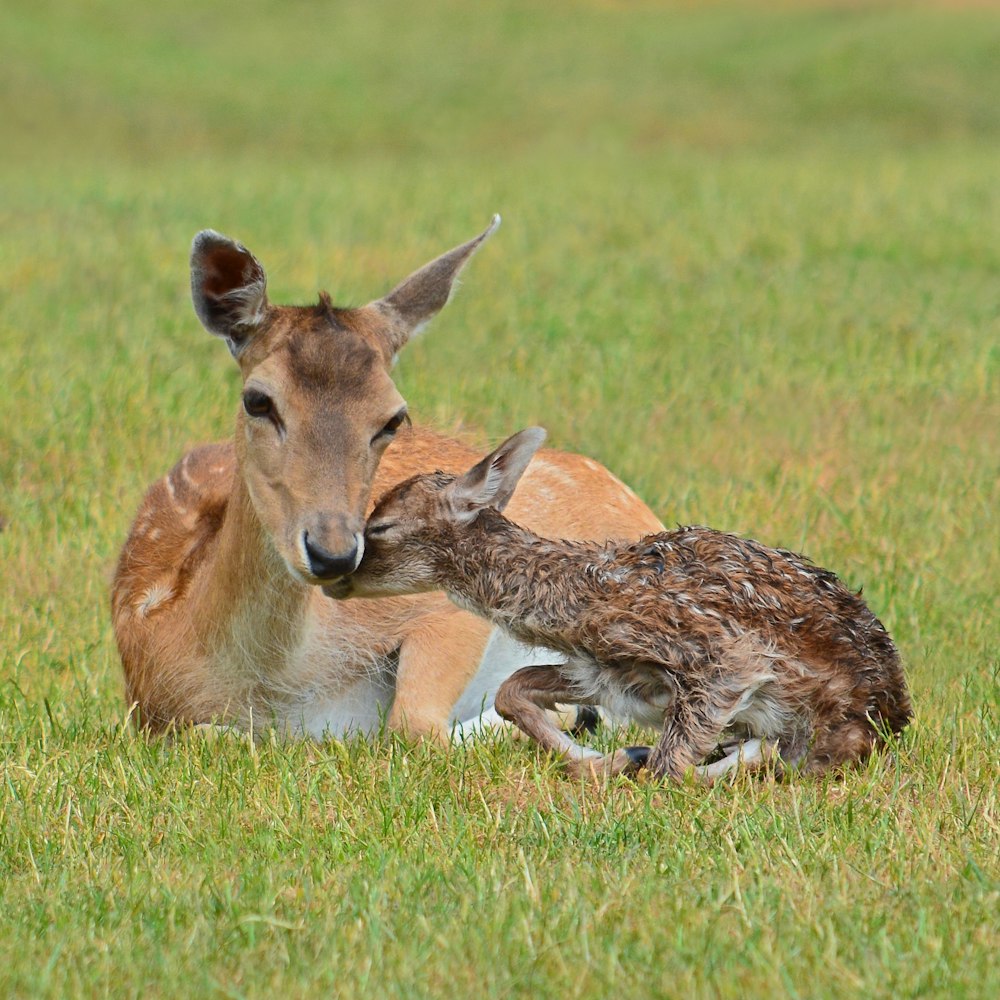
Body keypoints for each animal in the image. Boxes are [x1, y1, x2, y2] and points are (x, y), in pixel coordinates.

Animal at [111, 223, 664, 748]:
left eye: (394, 418)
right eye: (257, 400)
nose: (334, 553)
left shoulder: (442, 599)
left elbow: (412, 723)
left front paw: (578, 715)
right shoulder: (154, 712)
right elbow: (208, 733)